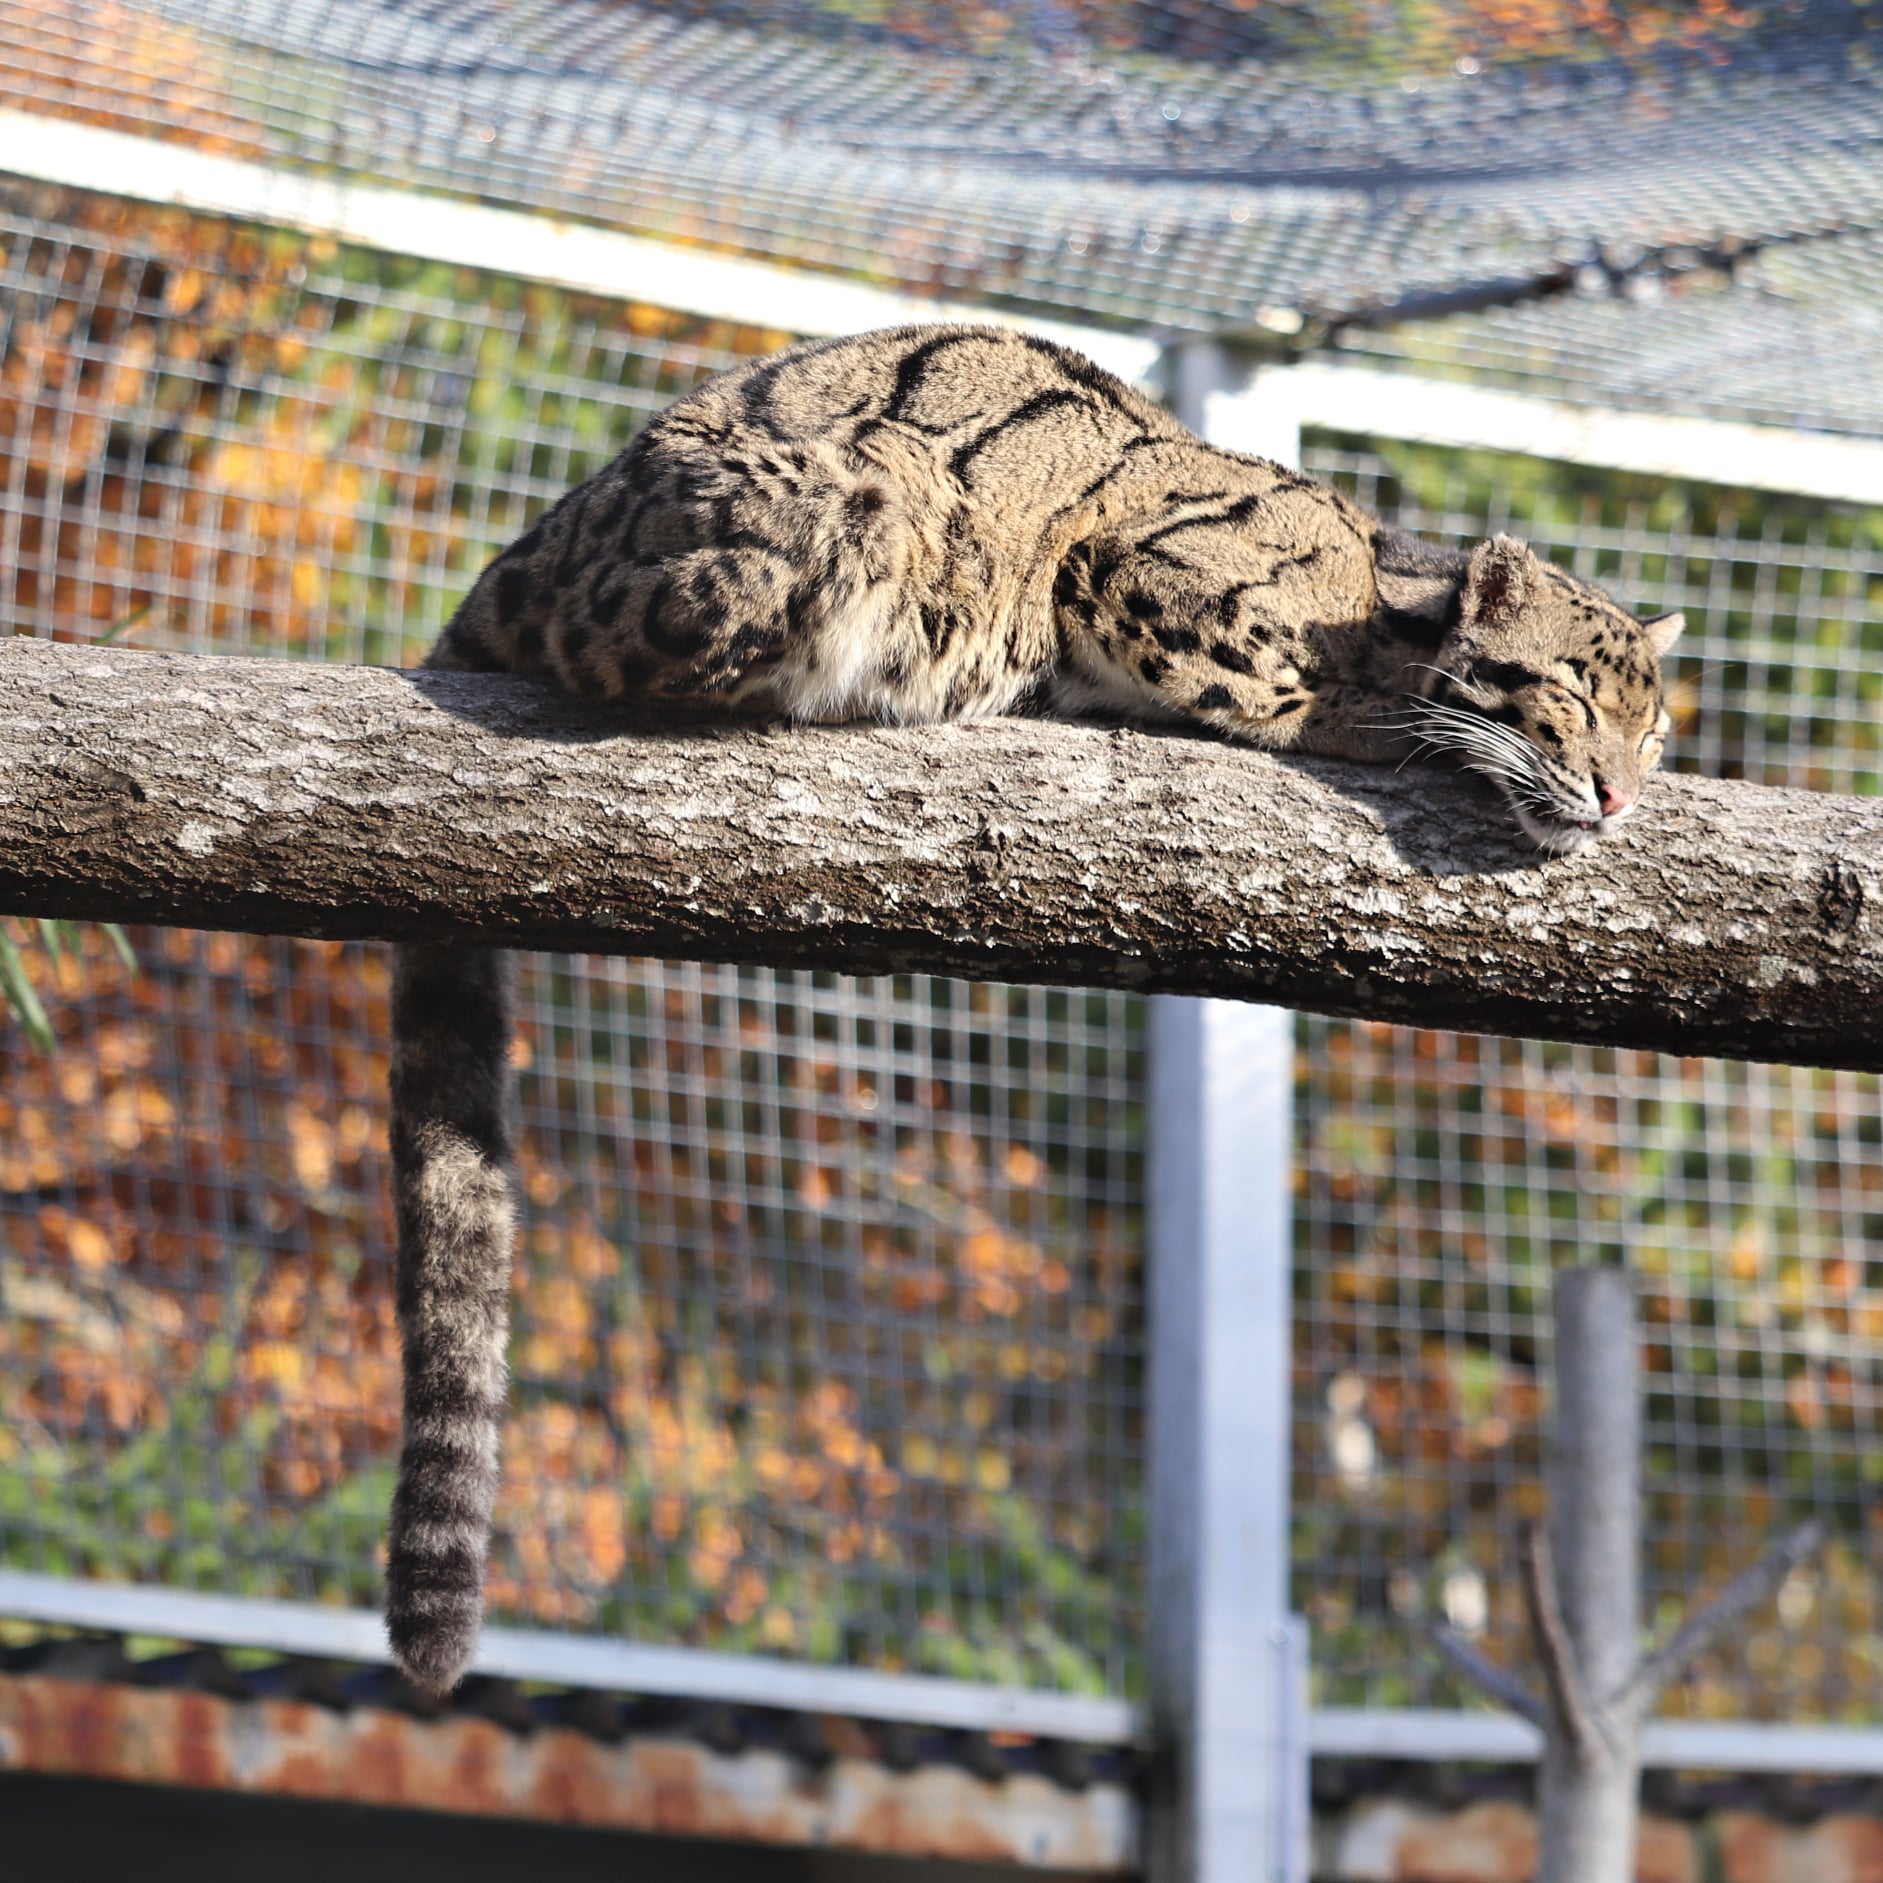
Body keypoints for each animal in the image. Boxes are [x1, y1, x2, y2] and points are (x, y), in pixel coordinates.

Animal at [386, 323, 1683, 1692]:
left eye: (1655, 729)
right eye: (1574, 698)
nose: (1618, 794)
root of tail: (531, 543)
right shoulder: (1137, 574)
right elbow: (1291, 694)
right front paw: (1400, 725)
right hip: (842, 511)